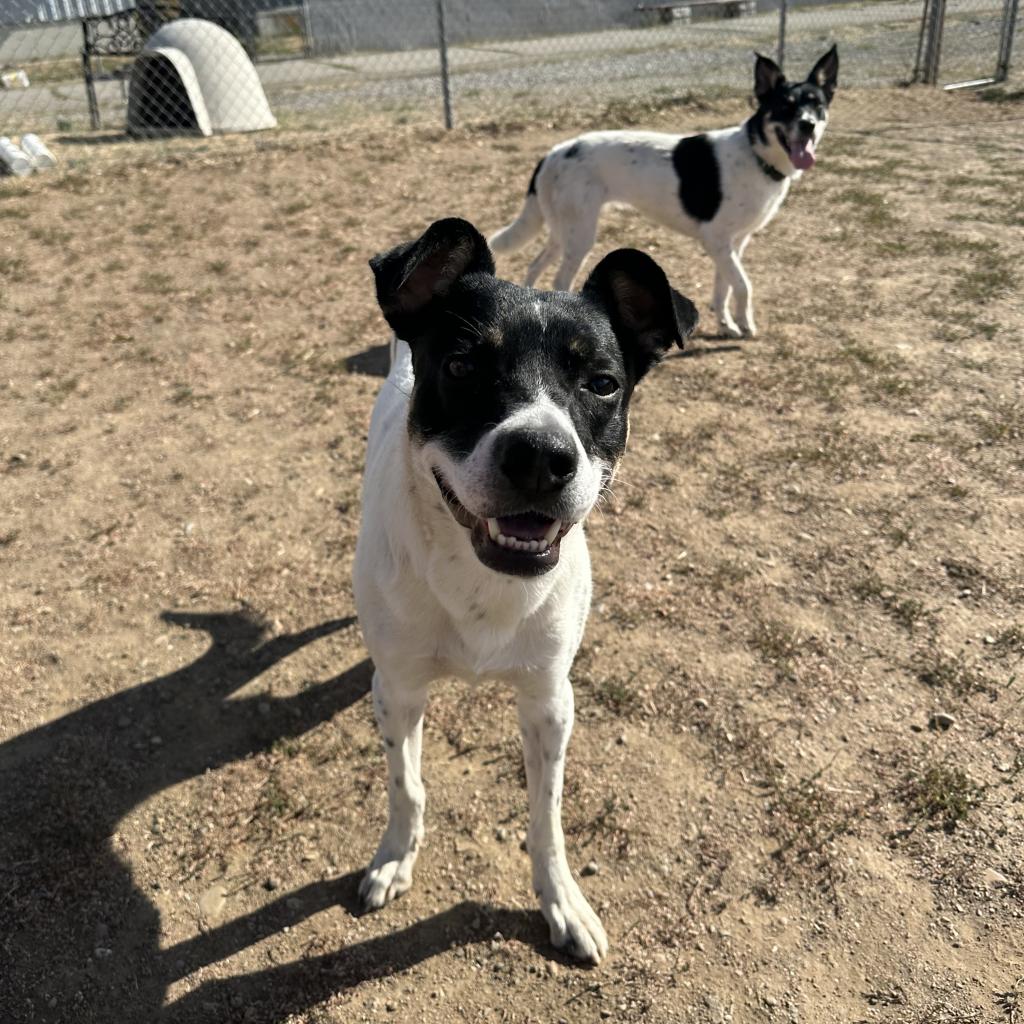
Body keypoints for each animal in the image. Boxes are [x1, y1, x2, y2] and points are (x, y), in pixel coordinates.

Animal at [352, 216, 696, 958]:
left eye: (602, 382)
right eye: (462, 367)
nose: (540, 456)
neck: (480, 583)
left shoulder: (549, 702)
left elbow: (547, 817)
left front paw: (561, 900)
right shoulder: (397, 690)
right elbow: (406, 785)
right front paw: (395, 856)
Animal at [489, 46, 839, 339]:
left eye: (817, 105)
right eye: (784, 107)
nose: (807, 124)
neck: (756, 153)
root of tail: (552, 154)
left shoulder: (732, 243)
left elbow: (724, 286)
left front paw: (726, 324)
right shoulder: (716, 240)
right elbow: (743, 285)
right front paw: (745, 325)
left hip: (563, 230)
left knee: (535, 266)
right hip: (580, 236)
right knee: (560, 280)